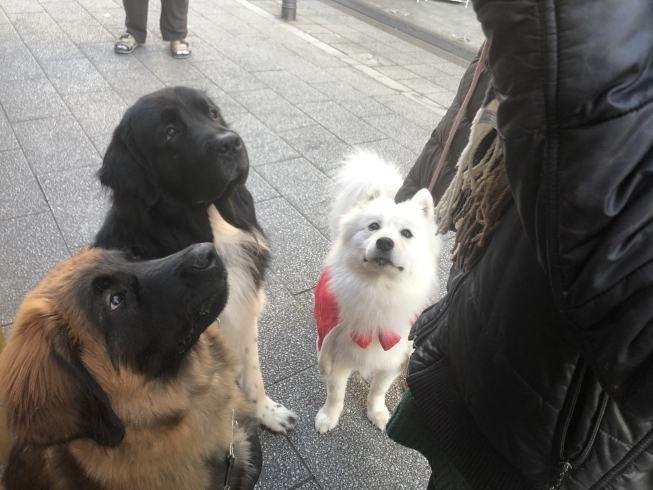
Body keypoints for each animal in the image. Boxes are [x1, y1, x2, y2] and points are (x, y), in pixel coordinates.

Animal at [94, 86, 298, 430]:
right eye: (170, 132)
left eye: (212, 114)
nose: (231, 142)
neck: (210, 227)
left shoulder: (244, 312)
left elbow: (252, 370)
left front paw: (267, 413)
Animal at [314, 150, 440, 432]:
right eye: (373, 226)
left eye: (406, 233)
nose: (384, 242)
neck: (378, 290)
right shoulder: (336, 356)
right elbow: (335, 394)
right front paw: (328, 418)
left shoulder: (392, 357)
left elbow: (378, 391)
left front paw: (379, 414)